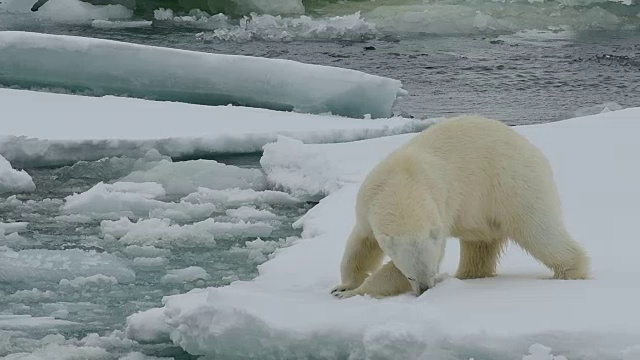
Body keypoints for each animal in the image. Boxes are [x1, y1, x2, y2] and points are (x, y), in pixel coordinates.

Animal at [332, 115, 592, 298]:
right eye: (411, 276)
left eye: (430, 271)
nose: (425, 289)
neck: (403, 183)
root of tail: (535, 151)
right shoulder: (368, 204)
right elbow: (360, 245)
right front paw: (343, 286)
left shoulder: (441, 205)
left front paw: (354, 292)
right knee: (480, 245)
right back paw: (468, 276)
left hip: (514, 186)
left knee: (541, 232)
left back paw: (570, 271)